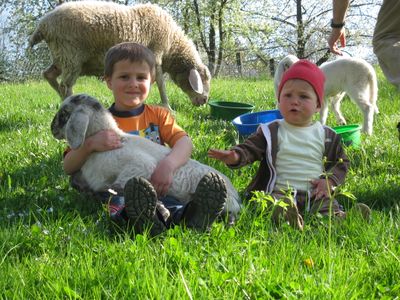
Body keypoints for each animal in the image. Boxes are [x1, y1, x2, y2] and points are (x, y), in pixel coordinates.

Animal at [29, 0, 211, 109]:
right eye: (202, 79)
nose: (204, 101)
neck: (172, 45)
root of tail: (43, 25)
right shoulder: (156, 53)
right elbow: (160, 82)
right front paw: (167, 106)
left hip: (61, 56)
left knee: (49, 75)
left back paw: (63, 102)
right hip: (71, 55)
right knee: (65, 85)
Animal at [51, 94, 242, 218]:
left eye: (64, 114)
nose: (51, 129)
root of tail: (236, 197)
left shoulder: (141, 166)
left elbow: (120, 187)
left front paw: (160, 208)